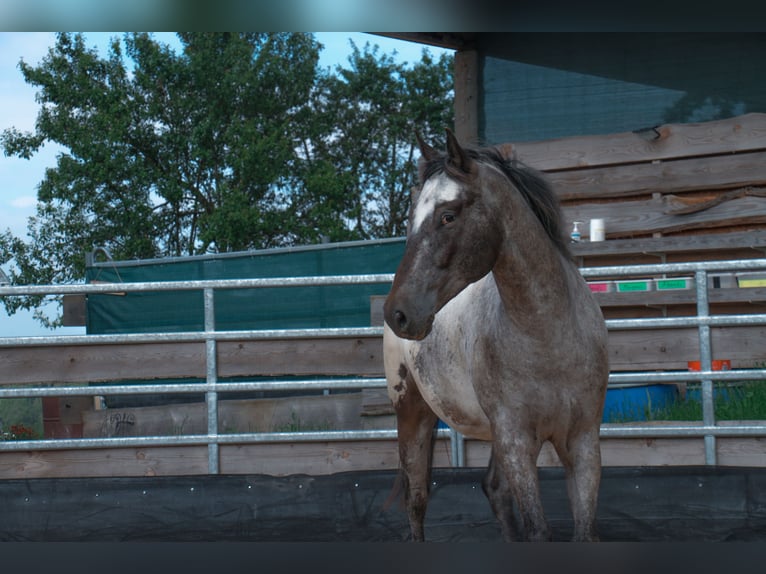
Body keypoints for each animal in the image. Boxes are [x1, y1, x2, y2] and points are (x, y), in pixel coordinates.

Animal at [384, 128, 612, 544]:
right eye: (411, 220)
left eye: (448, 215)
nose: (399, 313)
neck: (547, 337)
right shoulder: (516, 441)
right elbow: (538, 531)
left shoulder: (583, 441)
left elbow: (584, 532)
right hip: (412, 413)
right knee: (417, 499)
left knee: (494, 490)